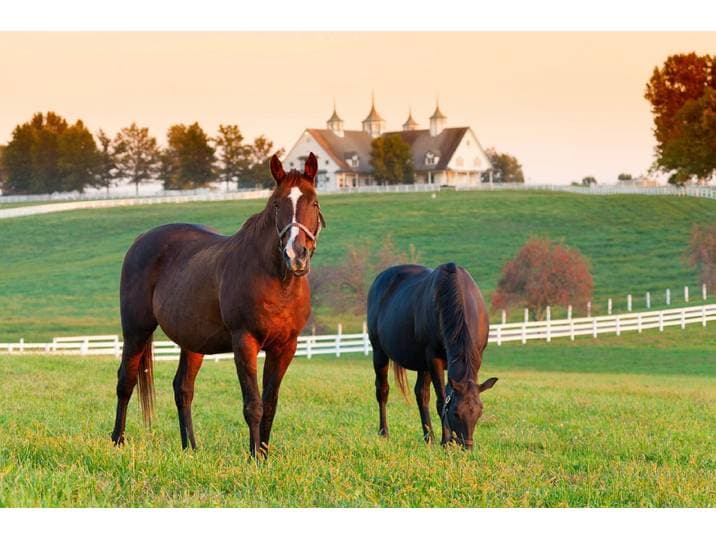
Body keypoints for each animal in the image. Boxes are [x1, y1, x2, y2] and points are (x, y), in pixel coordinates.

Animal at [110, 152, 326, 457]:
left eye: (314, 202)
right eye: (276, 204)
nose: (296, 255)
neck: (277, 281)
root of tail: (141, 240)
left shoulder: (285, 347)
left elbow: (270, 404)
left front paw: (264, 454)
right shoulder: (244, 342)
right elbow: (253, 404)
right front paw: (254, 458)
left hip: (192, 341)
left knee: (183, 389)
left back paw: (190, 448)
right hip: (136, 330)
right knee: (126, 381)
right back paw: (118, 440)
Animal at [367, 262, 498, 449]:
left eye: (479, 412)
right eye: (456, 413)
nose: (467, 446)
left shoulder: (475, 358)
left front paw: (446, 440)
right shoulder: (434, 359)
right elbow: (442, 400)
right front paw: (446, 441)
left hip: (422, 364)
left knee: (421, 395)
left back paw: (429, 437)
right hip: (379, 353)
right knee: (383, 390)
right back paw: (384, 433)